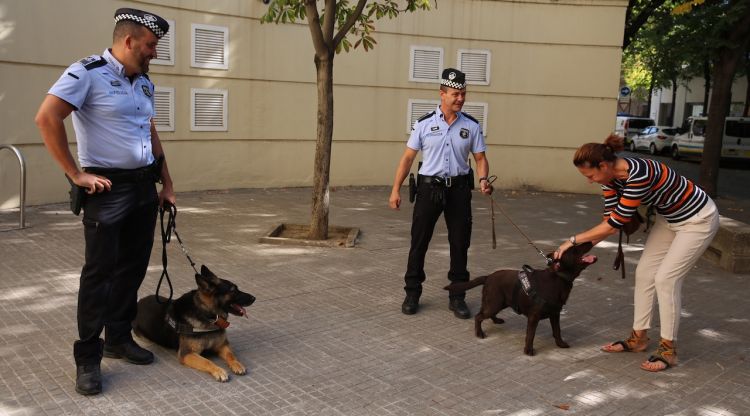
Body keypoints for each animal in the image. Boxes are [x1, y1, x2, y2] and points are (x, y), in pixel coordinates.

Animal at [446, 242, 600, 356]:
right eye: (574, 250)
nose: (590, 241)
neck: (558, 279)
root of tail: (488, 277)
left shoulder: (555, 314)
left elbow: (557, 331)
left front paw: (560, 344)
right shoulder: (533, 317)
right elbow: (530, 335)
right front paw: (528, 350)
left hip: (499, 303)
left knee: (486, 314)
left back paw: (496, 320)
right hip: (494, 303)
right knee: (478, 317)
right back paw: (479, 333)